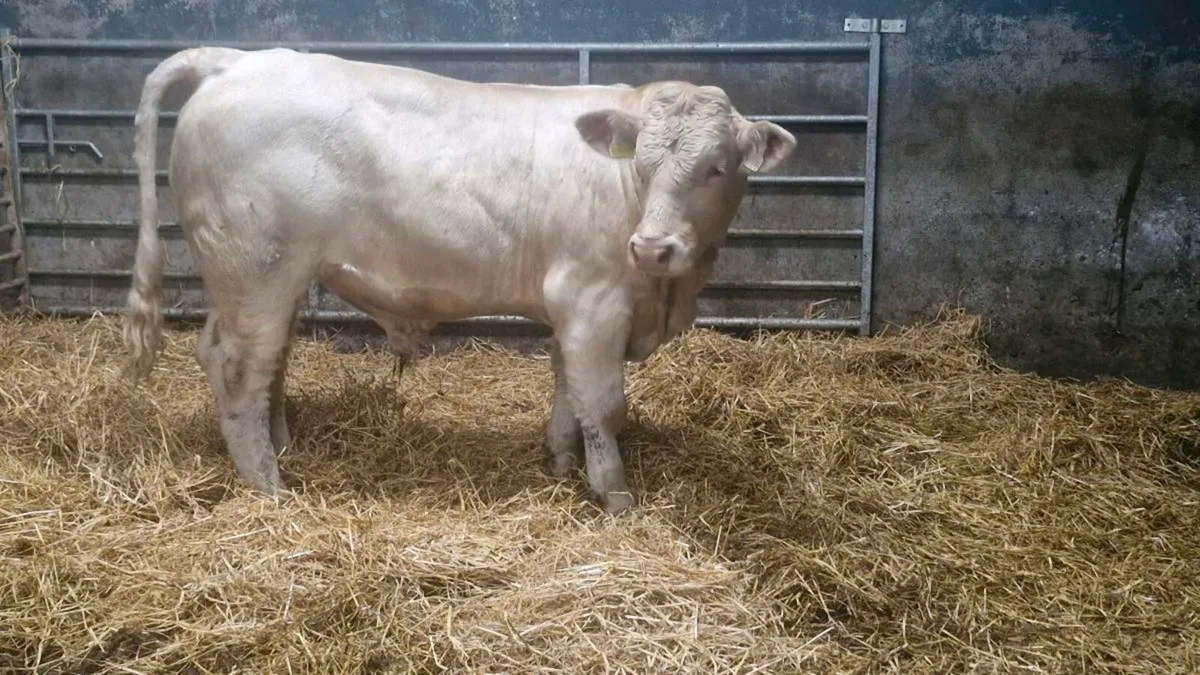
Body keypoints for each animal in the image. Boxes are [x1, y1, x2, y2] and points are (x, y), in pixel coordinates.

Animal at [122, 46, 796, 514]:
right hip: (257, 270)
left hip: (257, 278)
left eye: (716, 168)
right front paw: (615, 497)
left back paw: (283, 449)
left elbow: (567, 388)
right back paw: (268, 484)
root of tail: (236, 60)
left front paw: (558, 461)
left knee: (257, 361)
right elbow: (603, 406)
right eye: (645, 163)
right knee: (237, 366)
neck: (667, 295)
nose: (653, 248)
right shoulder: (593, 302)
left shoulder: (573, 313)